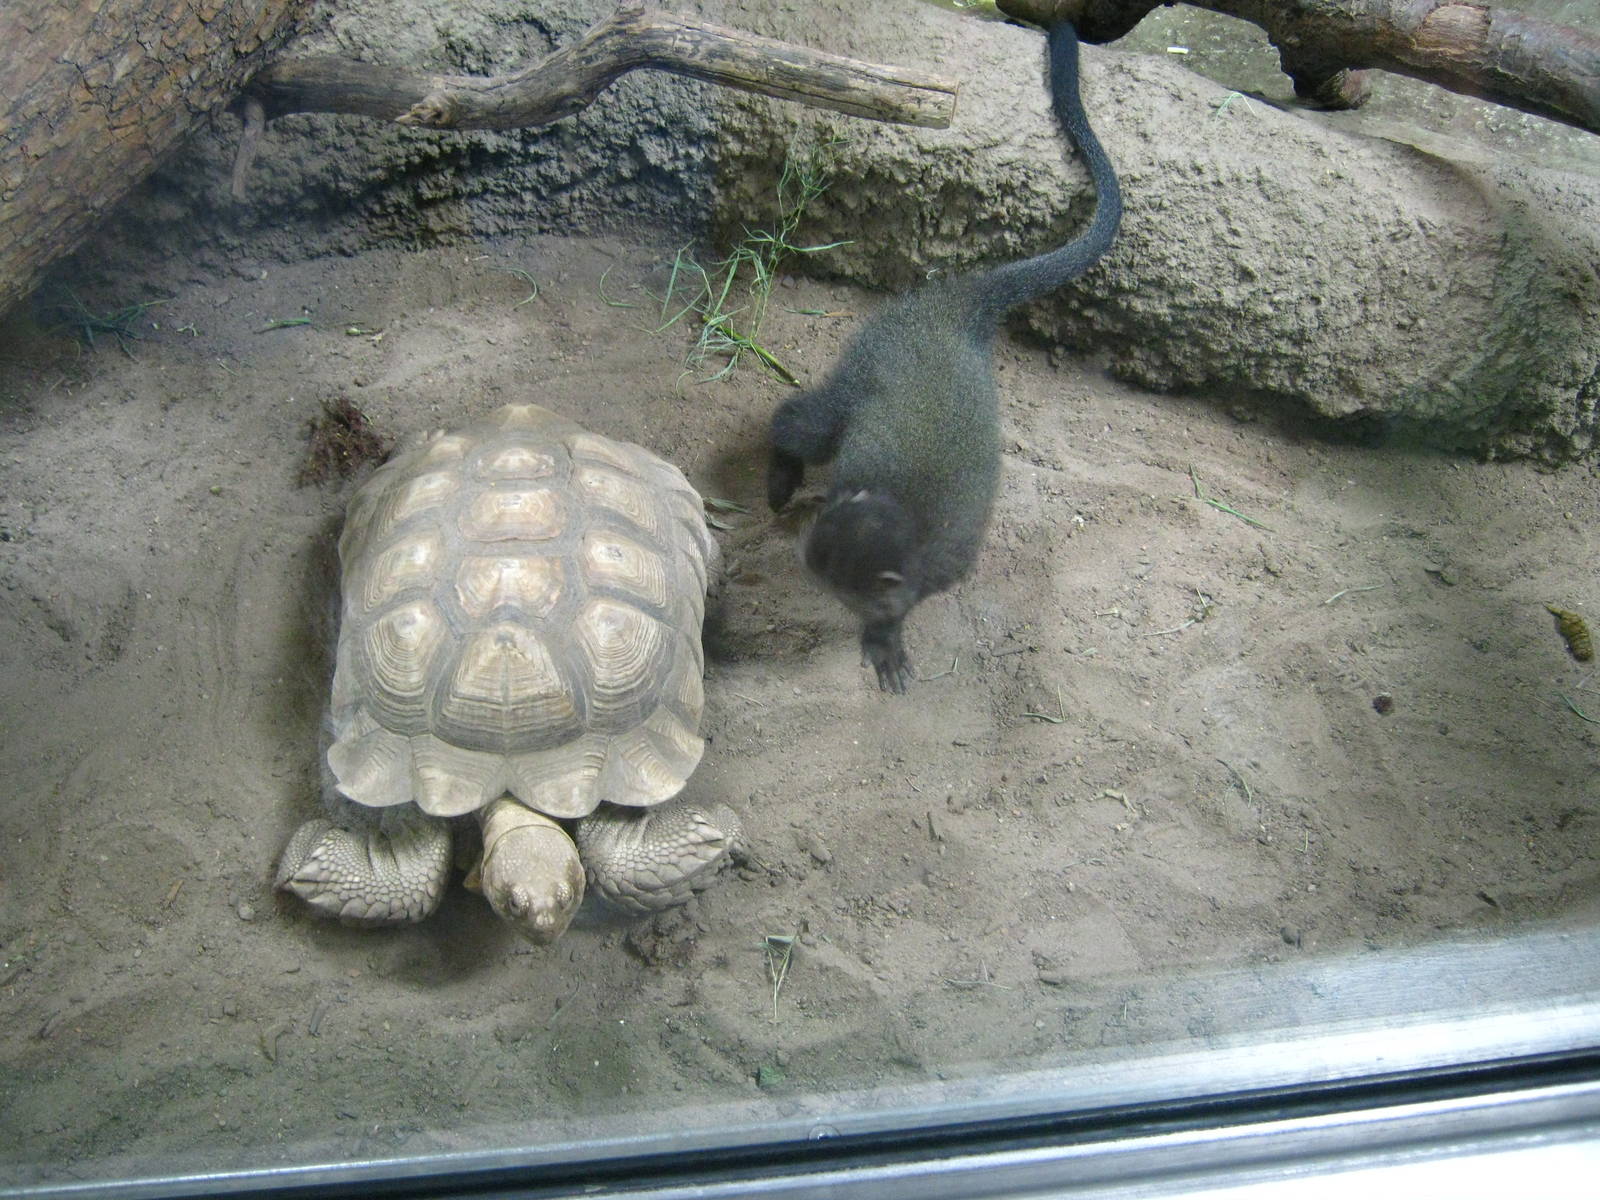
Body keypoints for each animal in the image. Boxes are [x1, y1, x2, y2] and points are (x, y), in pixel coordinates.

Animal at [766, 21, 1122, 693]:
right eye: (816, 561)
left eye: (829, 573)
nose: (799, 558)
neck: (903, 513)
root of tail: (956, 310)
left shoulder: (944, 565)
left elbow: (905, 603)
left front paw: (884, 635)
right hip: (870, 358)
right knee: (801, 424)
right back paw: (781, 470)